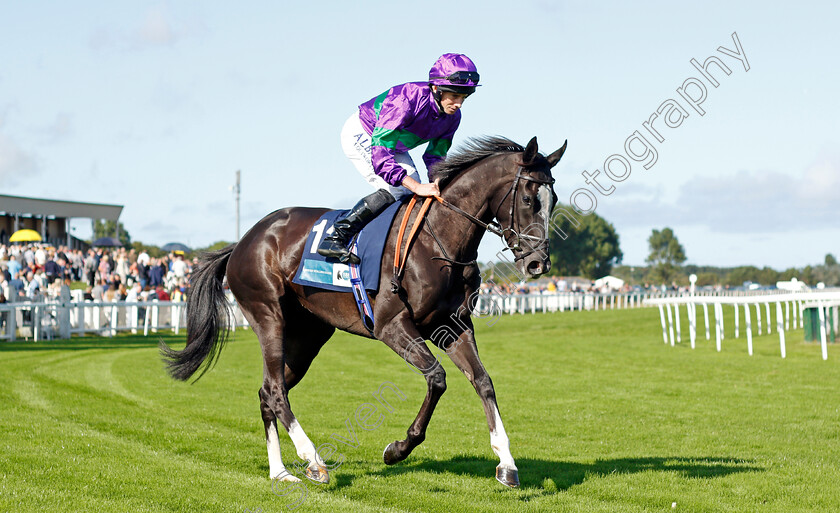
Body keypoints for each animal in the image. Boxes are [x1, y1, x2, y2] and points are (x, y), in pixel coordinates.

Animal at [161, 136, 568, 488]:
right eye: (529, 198)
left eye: (553, 199)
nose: (538, 264)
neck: (439, 240)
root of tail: (244, 240)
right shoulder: (391, 325)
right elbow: (437, 378)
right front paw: (398, 449)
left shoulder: (453, 326)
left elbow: (483, 381)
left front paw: (507, 464)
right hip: (267, 315)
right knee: (276, 390)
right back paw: (313, 460)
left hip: (308, 335)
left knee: (267, 391)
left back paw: (280, 471)